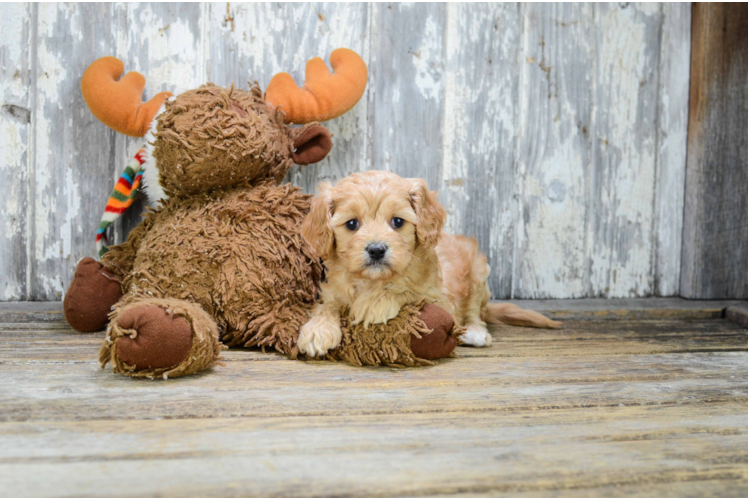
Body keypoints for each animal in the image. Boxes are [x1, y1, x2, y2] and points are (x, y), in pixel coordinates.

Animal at [296, 171, 560, 356]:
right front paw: (317, 329)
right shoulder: (333, 291)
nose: (376, 249)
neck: (373, 281)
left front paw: (375, 303)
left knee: (475, 312)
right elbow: (328, 305)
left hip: (477, 274)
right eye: (352, 224)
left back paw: (475, 332)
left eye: (397, 222)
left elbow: (407, 290)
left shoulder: (439, 298)